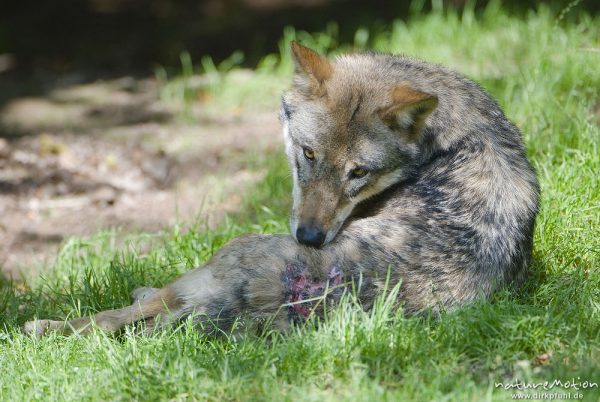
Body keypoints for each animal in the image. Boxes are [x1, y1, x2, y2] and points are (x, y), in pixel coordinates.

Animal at [22, 42, 540, 336]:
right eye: (308, 154)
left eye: (357, 174)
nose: (309, 238)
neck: (446, 136)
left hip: (230, 250)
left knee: (115, 319)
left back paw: (46, 324)